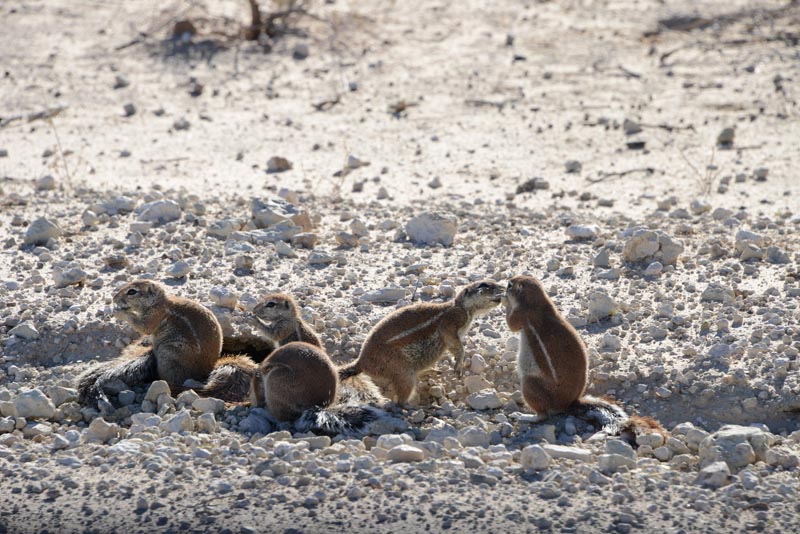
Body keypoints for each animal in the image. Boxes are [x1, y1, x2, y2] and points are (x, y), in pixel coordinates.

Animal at [77, 280, 225, 409]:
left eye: (132, 292)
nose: (114, 298)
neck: (158, 302)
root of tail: (205, 372)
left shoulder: (154, 316)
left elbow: (144, 327)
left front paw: (119, 312)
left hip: (169, 354)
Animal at [338, 280, 504, 404]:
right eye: (483, 285)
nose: (503, 288)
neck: (462, 307)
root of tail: (361, 363)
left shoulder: (452, 338)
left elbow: (454, 346)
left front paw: (458, 361)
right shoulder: (451, 321)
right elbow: (455, 342)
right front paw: (459, 364)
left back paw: (431, 371)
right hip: (402, 371)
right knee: (400, 398)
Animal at [503, 275, 662, 437]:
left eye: (510, 284)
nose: (506, 284)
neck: (538, 301)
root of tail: (570, 403)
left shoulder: (521, 314)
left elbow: (511, 324)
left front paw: (504, 300)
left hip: (530, 383)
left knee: (543, 415)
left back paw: (524, 416)